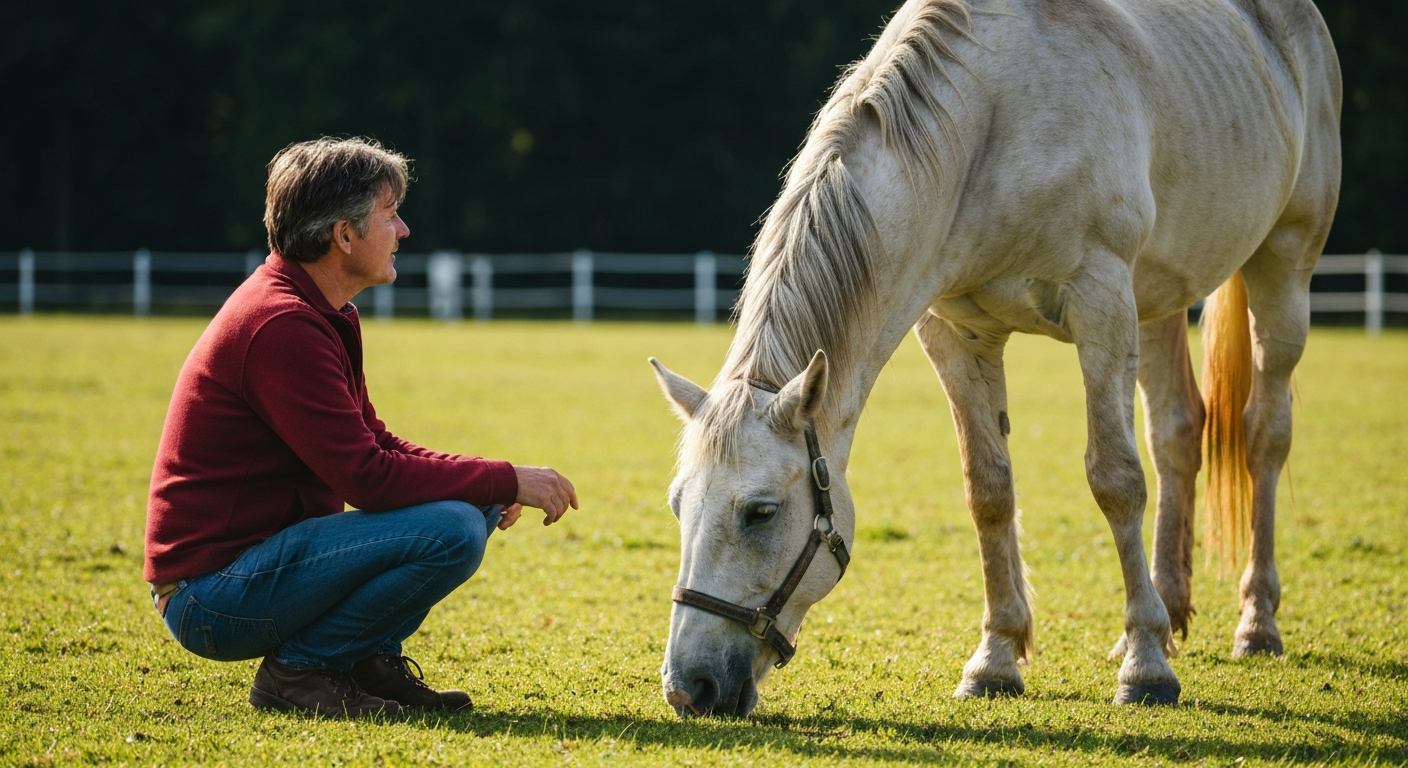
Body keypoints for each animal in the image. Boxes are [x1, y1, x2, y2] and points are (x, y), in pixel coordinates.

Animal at [650, 0, 1340, 716]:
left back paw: (1254, 623)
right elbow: (988, 490)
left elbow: (1116, 480)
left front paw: (1146, 670)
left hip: (1282, 267)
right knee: (1177, 433)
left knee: (1264, 435)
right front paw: (997, 659)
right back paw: (1168, 613)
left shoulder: (1101, 301)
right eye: (678, 503)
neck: (990, 126)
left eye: (761, 512)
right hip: (1158, 301)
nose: (689, 687)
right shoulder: (956, 333)